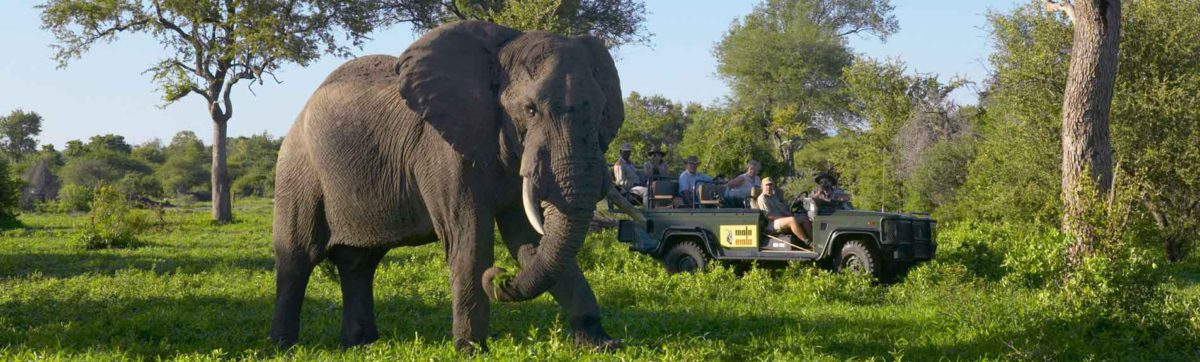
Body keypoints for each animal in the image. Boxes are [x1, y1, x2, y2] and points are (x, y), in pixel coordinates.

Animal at [267, 20, 633, 352]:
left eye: (602, 110)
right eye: (530, 110)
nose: (500, 276)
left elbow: (527, 238)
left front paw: (603, 344)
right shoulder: (441, 151)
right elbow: (470, 239)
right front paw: (471, 350)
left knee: (359, 263)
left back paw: (360, 345)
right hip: (297, 170)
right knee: (297, 257)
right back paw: (283, 348)